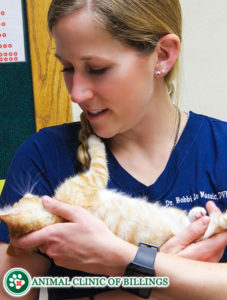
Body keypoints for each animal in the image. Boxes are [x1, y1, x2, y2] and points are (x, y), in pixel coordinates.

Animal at [0, 136, 227, 255]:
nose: (26, 192)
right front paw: (94, 138)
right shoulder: (94, 177)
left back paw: (197, 213)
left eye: (22, 199)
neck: (55, 217)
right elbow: (99, 155)